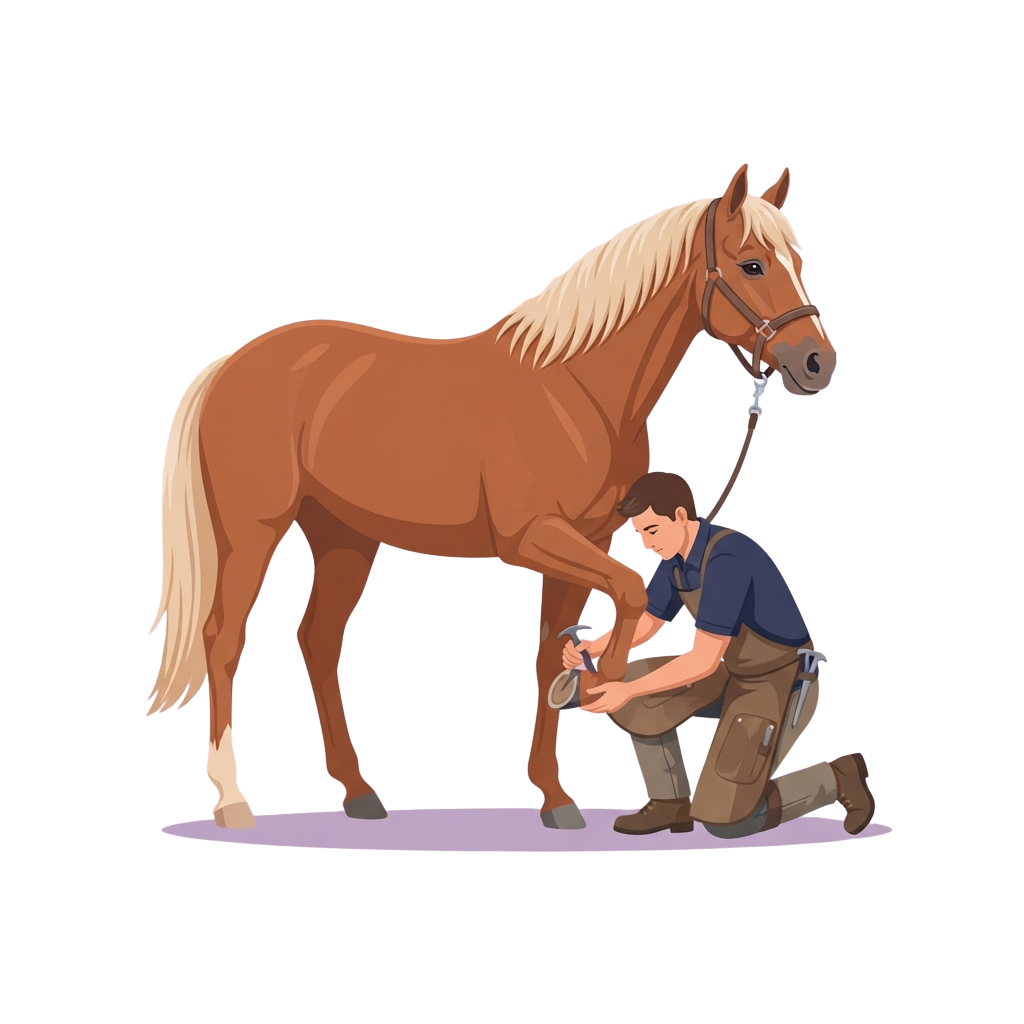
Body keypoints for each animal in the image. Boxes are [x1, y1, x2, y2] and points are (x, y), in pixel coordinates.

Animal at [147, 163, 836, 830]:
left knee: (317, 640)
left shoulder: (584, 541)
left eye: (798, 263)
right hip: (253, 535)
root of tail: (231, 364)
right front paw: (605, 684)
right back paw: (233, 801)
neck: (576, 388)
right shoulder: (533, 537)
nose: (817, 364)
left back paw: (359, 791)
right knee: (224, 641)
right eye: (752, 264)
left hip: (345, 538)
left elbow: (552, 651)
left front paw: (556, 796)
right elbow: (630, 591)